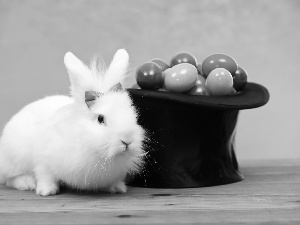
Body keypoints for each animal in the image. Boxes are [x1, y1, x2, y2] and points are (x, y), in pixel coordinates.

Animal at [0, 48, 145, 195]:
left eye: (132, 114)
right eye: (100, 119)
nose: (127, 140)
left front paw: (117, 188)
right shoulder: (44, 159)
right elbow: (45, 175)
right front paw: (47, 191)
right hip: (14, 158)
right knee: (9, 178)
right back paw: (27, 183)